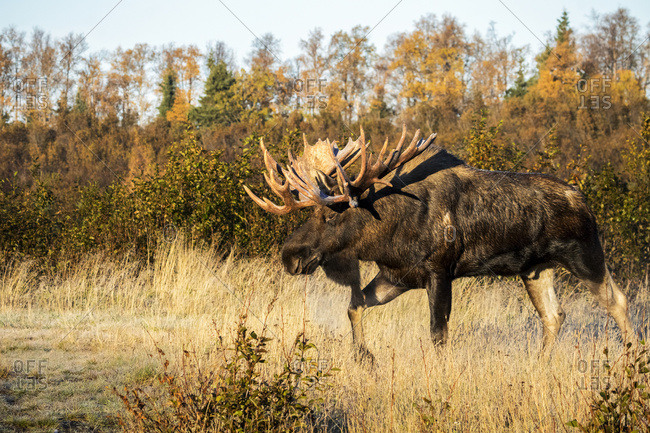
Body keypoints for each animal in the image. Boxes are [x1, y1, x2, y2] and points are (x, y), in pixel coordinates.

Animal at [243, 126, 632, 360]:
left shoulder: (440, 272)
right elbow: (354, 306)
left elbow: (437, 334)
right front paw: (365, 357)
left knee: (618, 301)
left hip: (585, 255)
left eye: (332, 215)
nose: (290, 256)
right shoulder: (397, 276)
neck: (388, 229)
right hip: (536, 270)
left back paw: (631, 358)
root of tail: (585, 200)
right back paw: (540, 365)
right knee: (554, 316)